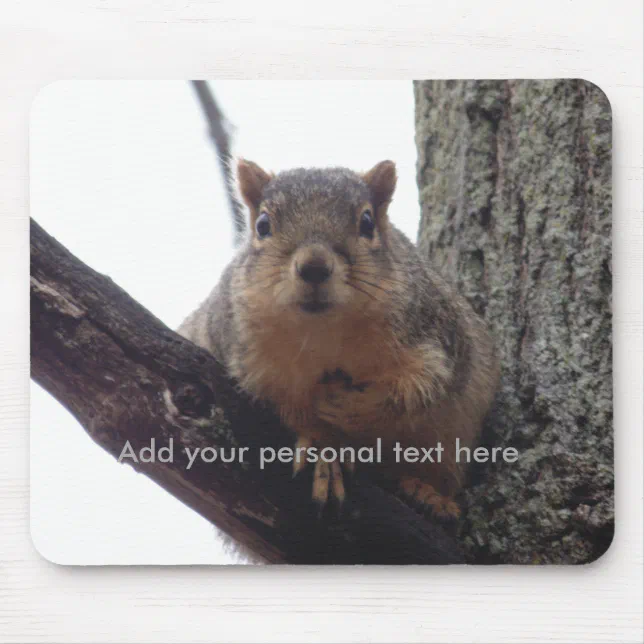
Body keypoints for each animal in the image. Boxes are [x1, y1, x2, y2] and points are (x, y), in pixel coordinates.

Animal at [178, 159, 499, 522]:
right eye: (262, 225)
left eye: (367, 222)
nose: (314, 266)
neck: (323, 332)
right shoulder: (249, 360)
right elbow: (289, 409)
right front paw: (324, 450)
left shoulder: (437, 339)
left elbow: (417, 390)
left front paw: (348, 407)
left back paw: (427, 493)